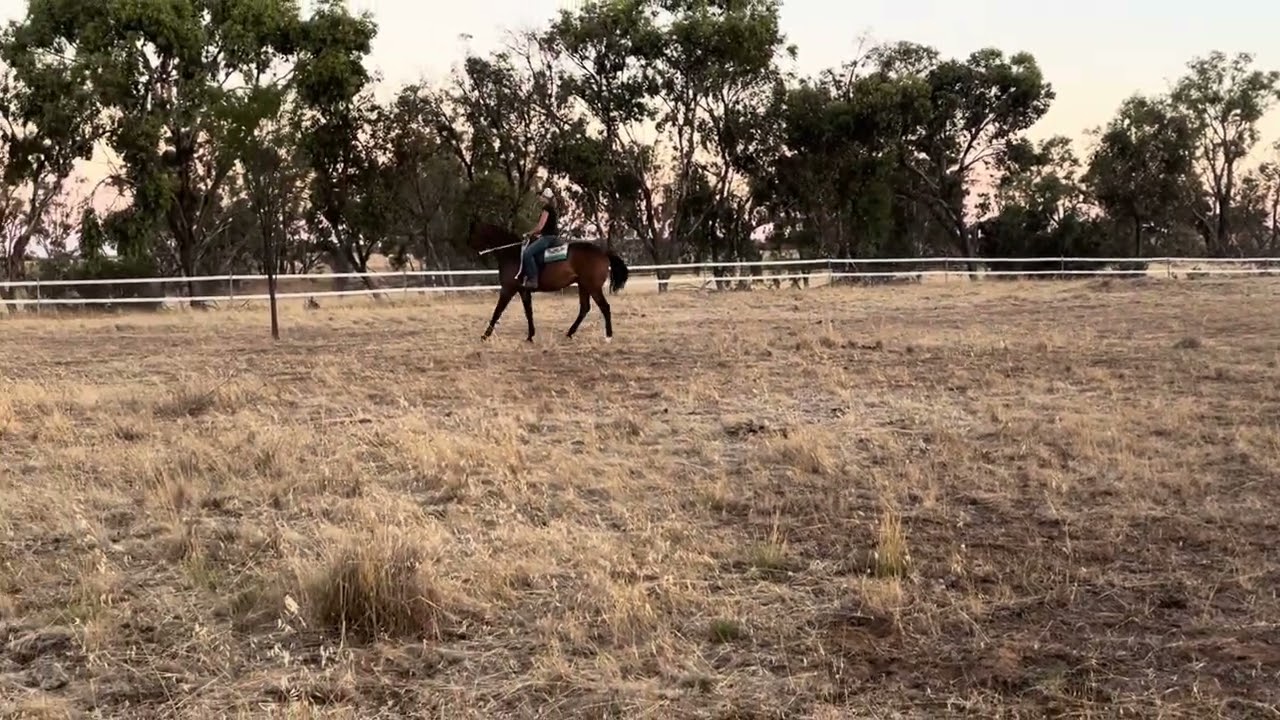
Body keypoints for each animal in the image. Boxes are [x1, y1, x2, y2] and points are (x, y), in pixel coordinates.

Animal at [467, 221, 630, 342]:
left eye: (473, 232)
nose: (468, 246)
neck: (512, 254)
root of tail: (603, 252)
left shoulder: (508, 289)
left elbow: (497, 311)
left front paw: (485, 336)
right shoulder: (523, 290)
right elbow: (528, 312)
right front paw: (530, 336)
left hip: (593, 287)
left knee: (605, 307)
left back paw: (608, 336)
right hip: (583, 286)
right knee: (584, 308)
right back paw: (570, 333)